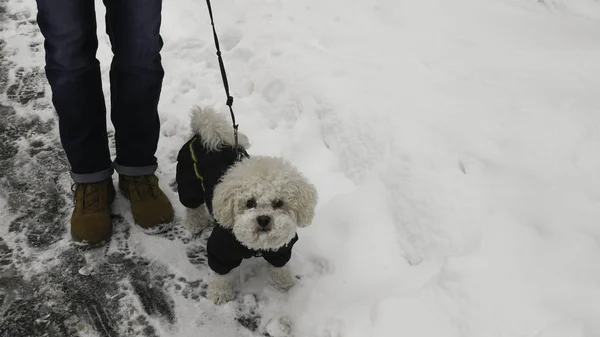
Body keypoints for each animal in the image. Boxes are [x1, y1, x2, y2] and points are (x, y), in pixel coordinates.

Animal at [176, 106, 318, 304]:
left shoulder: (281, 248)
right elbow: (220, 273)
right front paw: (219, 293)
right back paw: (195, 222)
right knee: (192, 206)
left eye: (279, 203)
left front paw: (284, 283)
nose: (264, 219)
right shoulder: (221, 249)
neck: (256, 244)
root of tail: (201, 132)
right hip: (188, 182)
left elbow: (280, 266)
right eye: (250, 202)